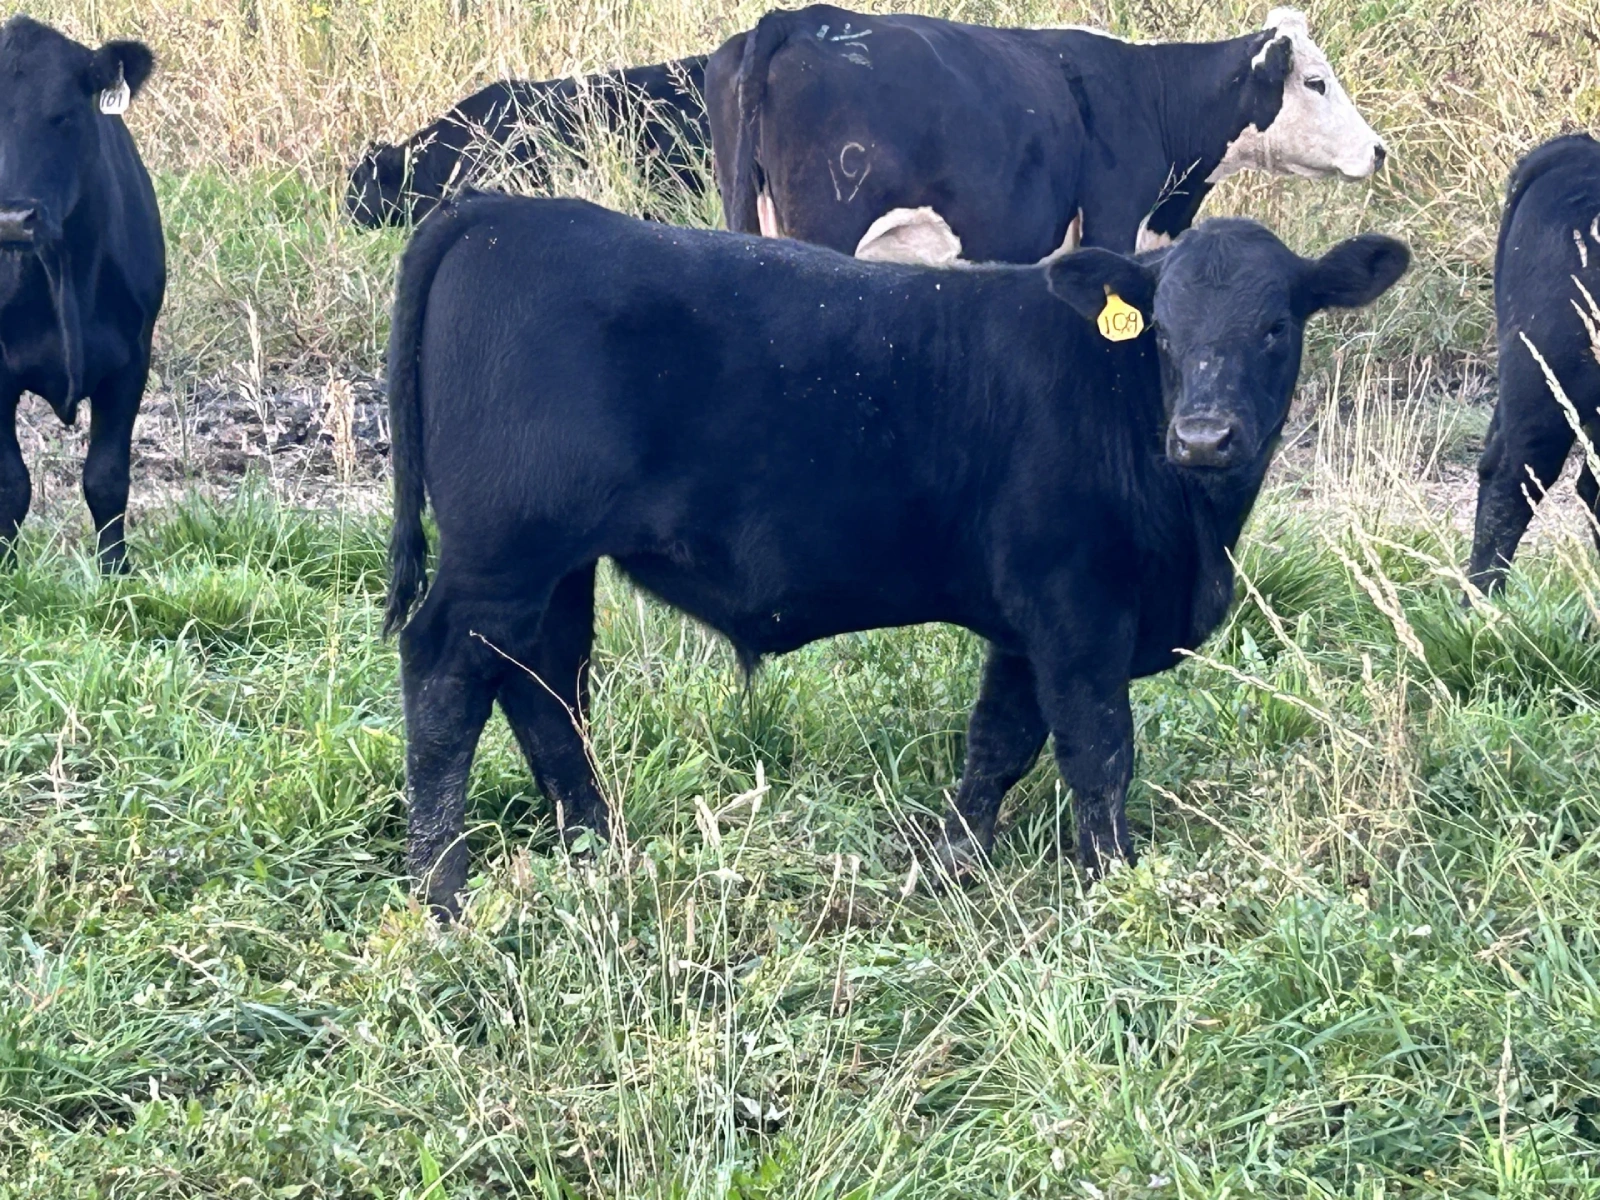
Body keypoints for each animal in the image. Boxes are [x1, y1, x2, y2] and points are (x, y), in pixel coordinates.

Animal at [0, 16, 165, 574]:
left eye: (64, 116)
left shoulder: (132, 358)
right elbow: (11, 484)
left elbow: (107, 477)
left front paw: (115, 571)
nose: (12, 219)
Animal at [380, 192, 1407, 916]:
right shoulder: (1076, 607)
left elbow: (999, 740)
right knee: (447, 683)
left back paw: (597, 848)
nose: (1203, 437)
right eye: (1162, 332)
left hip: (554, 566)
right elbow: (1098, 748)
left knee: (541, 683)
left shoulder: (1026, 621)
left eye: (1275, 326)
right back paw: (442, 890)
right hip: (503, 555)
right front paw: (1114, 881)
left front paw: (950, 858)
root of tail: (501, 212)